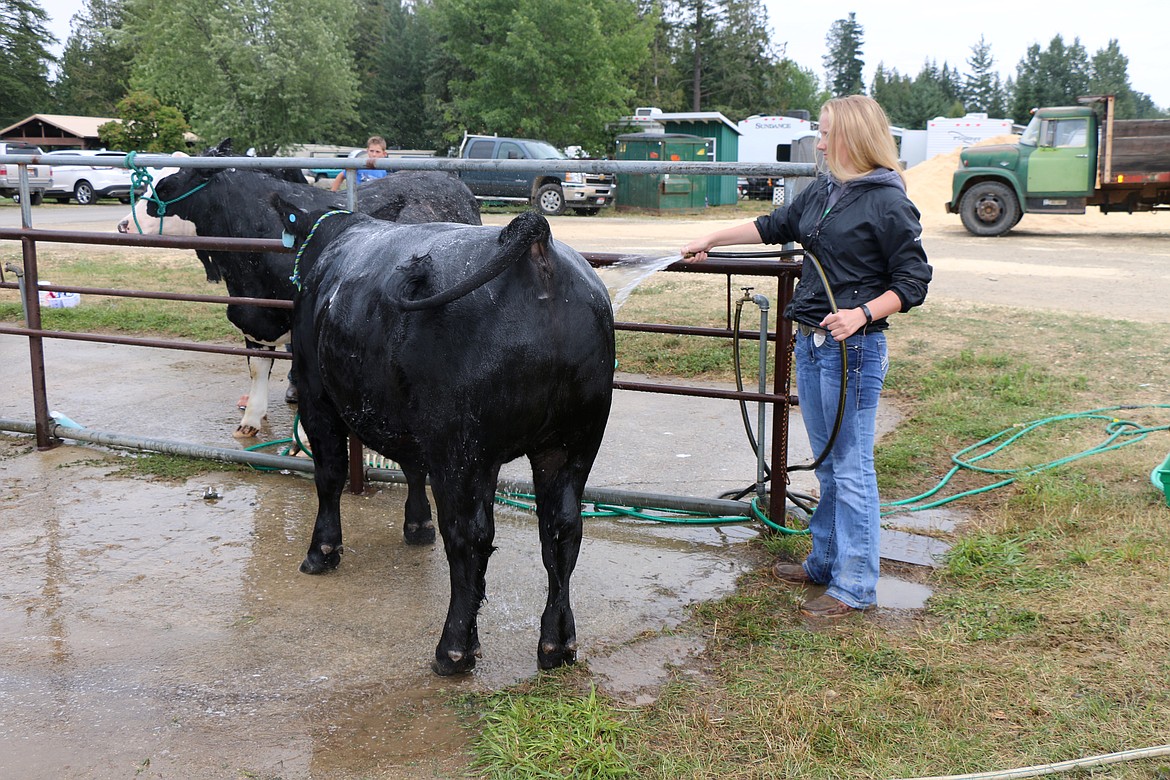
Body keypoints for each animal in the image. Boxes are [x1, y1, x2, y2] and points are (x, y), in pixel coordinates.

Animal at [148, 140, 482, 439]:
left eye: (194, 171)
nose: (154, 195)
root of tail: (452, 183)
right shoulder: (251, 312)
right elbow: (257, 367)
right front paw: (250, 421)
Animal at [273, 196, 617, 678]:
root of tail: (536, 236)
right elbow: (411, 466)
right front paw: (417, 526)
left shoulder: (314, 393)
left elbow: (330, 474)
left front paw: (321, 551)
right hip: (571, 444)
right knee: (562, 531)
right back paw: (556, 644)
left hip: (465, 451)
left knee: (470, 537)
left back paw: (454, 650)